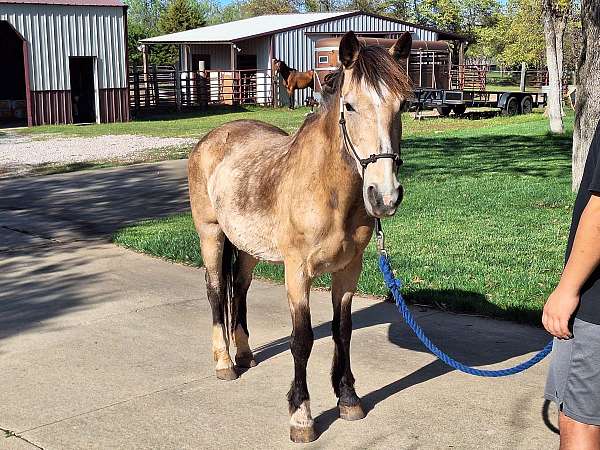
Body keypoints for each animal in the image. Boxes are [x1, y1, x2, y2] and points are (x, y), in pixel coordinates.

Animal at [188, 30, 412, 442]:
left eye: (402, 105)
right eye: (350, 106)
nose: (384, 196)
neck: (327, 189)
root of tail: (213, 136)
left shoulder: (349, 271)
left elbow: (343, 331)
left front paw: (348, 398)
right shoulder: (298, 272)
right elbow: (302, 339)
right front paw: (301, 414)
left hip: (247, 248)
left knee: (238, 289)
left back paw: (244, 354)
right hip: (211, 235)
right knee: (215, 292)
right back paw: (225, 363)